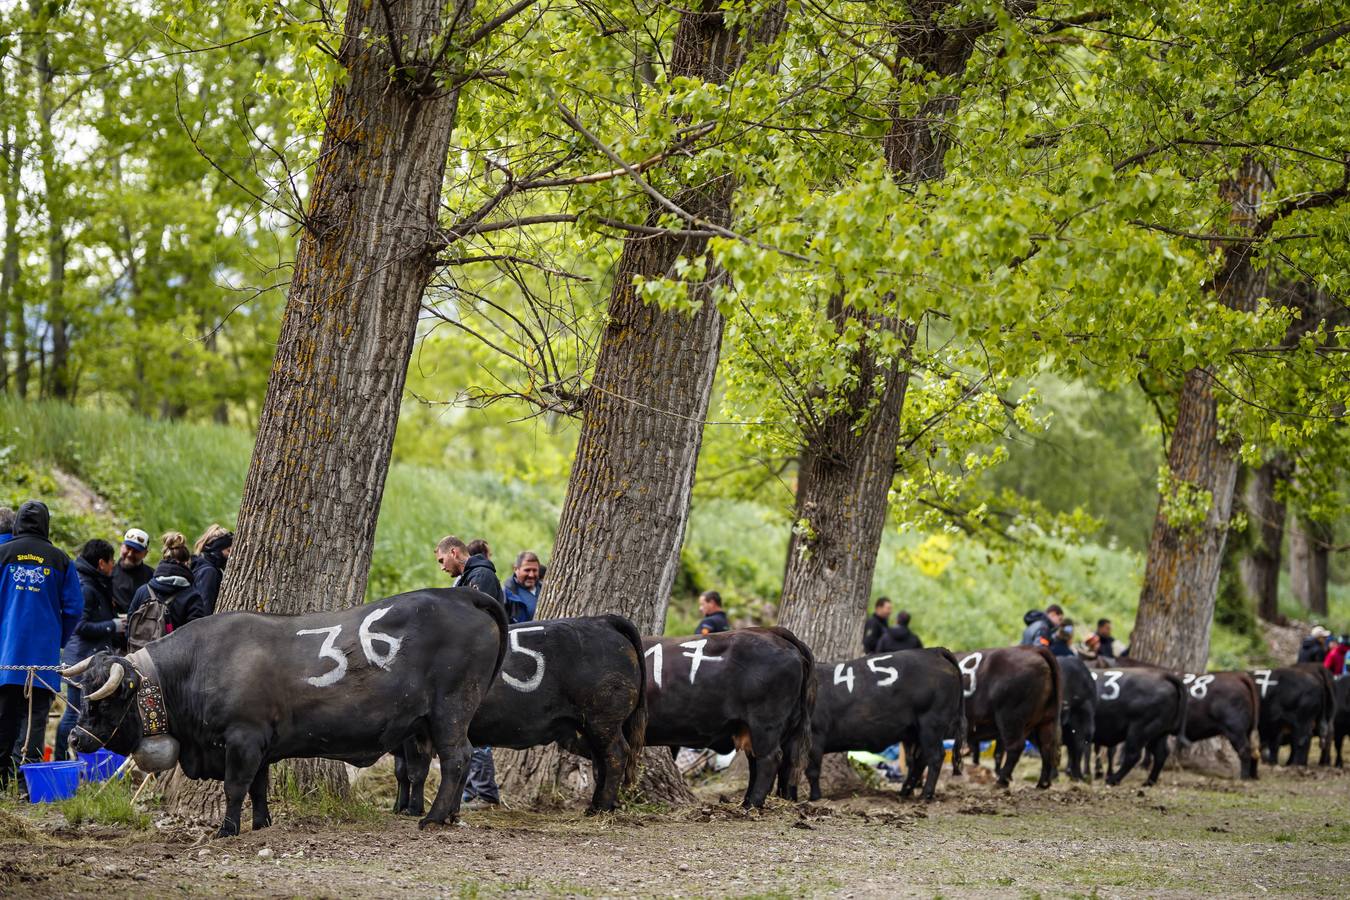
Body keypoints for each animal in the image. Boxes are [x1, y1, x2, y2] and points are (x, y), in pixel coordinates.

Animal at [64, 588, 507, 837]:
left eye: (105, 700)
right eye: (83, 693)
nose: (74, 737)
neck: (198, 666)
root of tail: (458, 595)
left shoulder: (242, 738)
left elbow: (236, 787)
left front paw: (227, 830)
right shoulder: (260, 742)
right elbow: (259, 787)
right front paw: (261, 824)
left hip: (451, 709)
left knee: (456, 759)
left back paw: (433, 818)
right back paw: (449, 816)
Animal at [394, 615, 646, 816]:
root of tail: (602, 620)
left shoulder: (413, 733)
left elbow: (415, 772)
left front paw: (412, 810)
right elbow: (403, 771)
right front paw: (401, 806)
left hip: (603, 720)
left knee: (616, 754)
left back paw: (601, 808)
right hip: (587, 726)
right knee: (600, 761)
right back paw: (599, 804)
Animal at [788, 648, 963, 802]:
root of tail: (935, 651)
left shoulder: (815, 736)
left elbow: (811, 770)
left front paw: (814, 798)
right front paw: (789, 797)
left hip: (931, 724)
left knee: (935, 756)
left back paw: (925, 795)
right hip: (916, 732)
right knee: (919, 761)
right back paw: (905, 792)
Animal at [951, 646, 1061, 789]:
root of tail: (1033, 650)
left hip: (1009, 719)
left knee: (1016, 747)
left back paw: (1001, 781)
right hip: (1046, 721)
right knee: (1046, 747)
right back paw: (1042, 784)